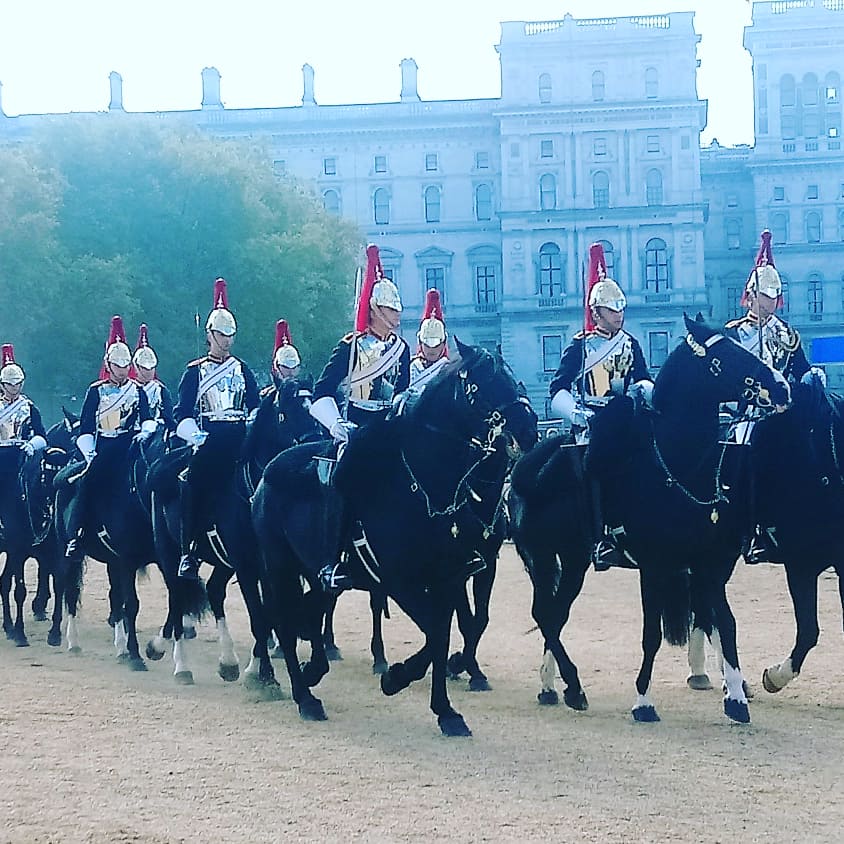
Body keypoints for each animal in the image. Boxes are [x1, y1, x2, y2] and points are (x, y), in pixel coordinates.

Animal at [145, 380, 320, 688]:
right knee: (177, 596)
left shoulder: (265, 565)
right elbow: (259, 617)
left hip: (223, 562)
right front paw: (265, 676)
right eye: (285, 412)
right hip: (169, 550)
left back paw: (227, 661)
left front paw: (255, 668)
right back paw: (181, 665)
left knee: (213, 592)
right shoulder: (247, 565)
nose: (314, 445)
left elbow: (269, 613)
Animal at [254, 340, 536, 736]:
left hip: (311, 569)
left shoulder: (452, 576)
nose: (529, 428)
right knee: (282, 618)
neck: (424, 486)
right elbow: (437, 631)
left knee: (312, 609)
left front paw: (446, 709)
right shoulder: (400, 581)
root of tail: (268, 471)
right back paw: (304, 696)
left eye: (512, 375)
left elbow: (447, 632)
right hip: (278, 566)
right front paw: (399, 677)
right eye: (483, 383)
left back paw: (315, 669)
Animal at [508, 316, 792, 724]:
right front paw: (643, 701)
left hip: (574, 559)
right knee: (545, 613)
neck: (679, 465)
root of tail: (525, 464)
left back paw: (553, 687)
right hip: (542, 556)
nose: (782, 387)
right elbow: (652, 635)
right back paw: (573, 686)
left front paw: (736, 698)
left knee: (555, 614)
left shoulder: (710, 563)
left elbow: (726, 623)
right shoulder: (655, 565)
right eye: (722, 358)